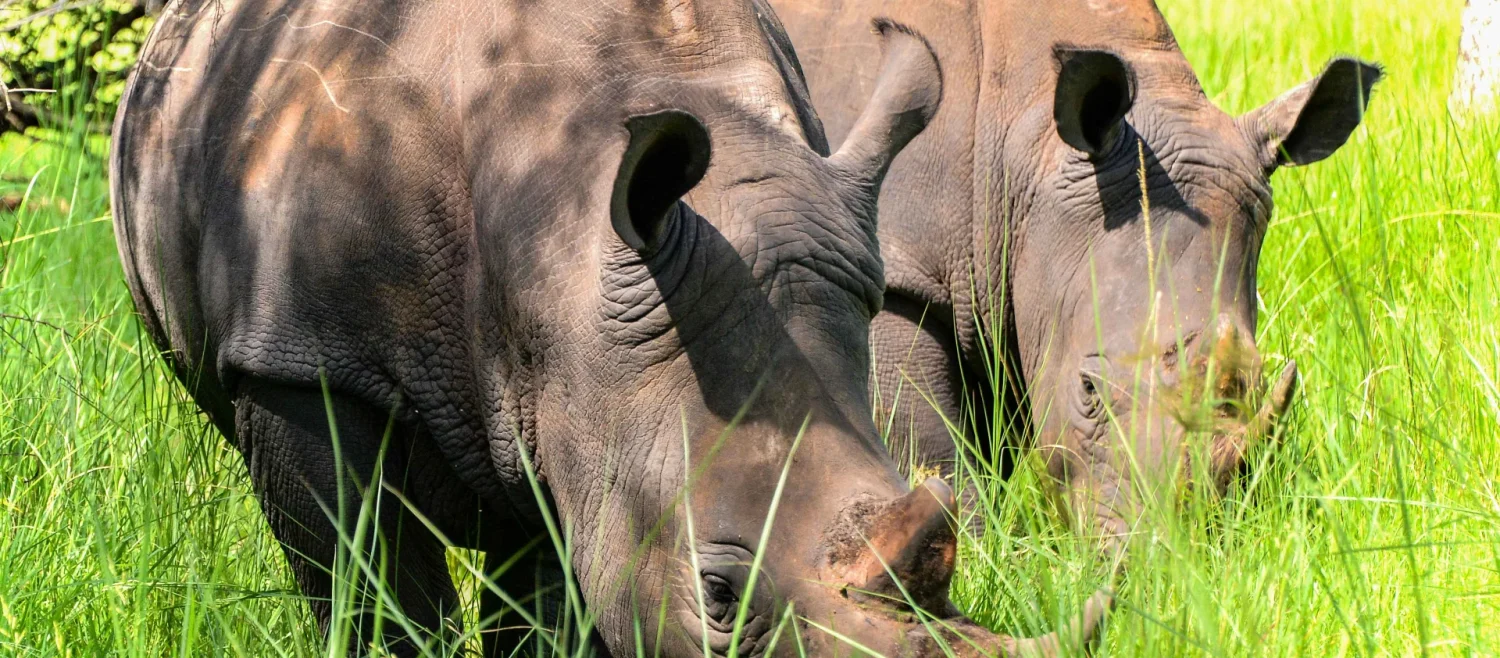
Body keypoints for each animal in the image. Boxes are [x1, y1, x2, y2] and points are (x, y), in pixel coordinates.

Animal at [772, 0, 1379, 558]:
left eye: (1257, 381)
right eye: (1088, 389)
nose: (1159, 563)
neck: (1026, 144)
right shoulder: (899, 274)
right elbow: (930, 452)